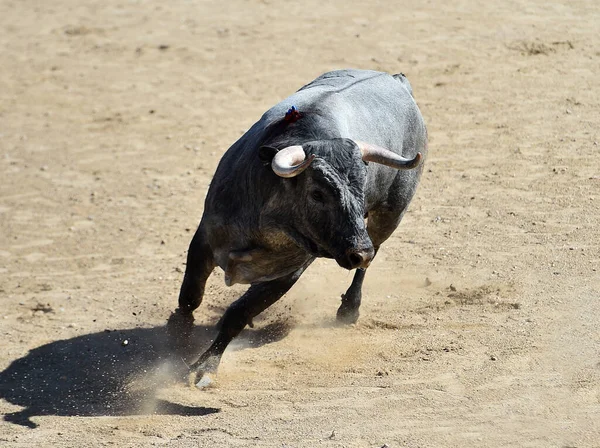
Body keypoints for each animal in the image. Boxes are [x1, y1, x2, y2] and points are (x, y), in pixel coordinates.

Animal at [169, 68, 428, 386]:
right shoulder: (204, 240)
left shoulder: (289, 272)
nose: (360, 253)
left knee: (373, 252)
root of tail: (397, 80)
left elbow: (237, 314)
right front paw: (178, 337)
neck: (266, 225)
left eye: (363, 188)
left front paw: (205, 368)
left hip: (391, 213)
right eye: (317, 193)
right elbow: (190, 296)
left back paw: (349, 308)